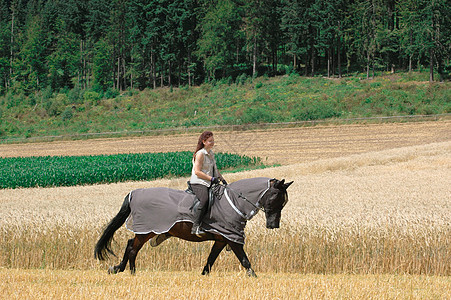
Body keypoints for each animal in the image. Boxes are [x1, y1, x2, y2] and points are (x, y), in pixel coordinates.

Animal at [94, 177, 294, 278]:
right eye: (275, 197)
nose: (273, 225)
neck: (234, 202)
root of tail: (133, 193)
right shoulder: (231, 238)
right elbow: (245, 260)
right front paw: (254, 277)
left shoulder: (221, 240)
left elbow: (211, 259)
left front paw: (203, 275)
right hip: (147, 230)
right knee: (132, 247)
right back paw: (128, 271)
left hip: (146, 231)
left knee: (131, 245)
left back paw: (124, 270)